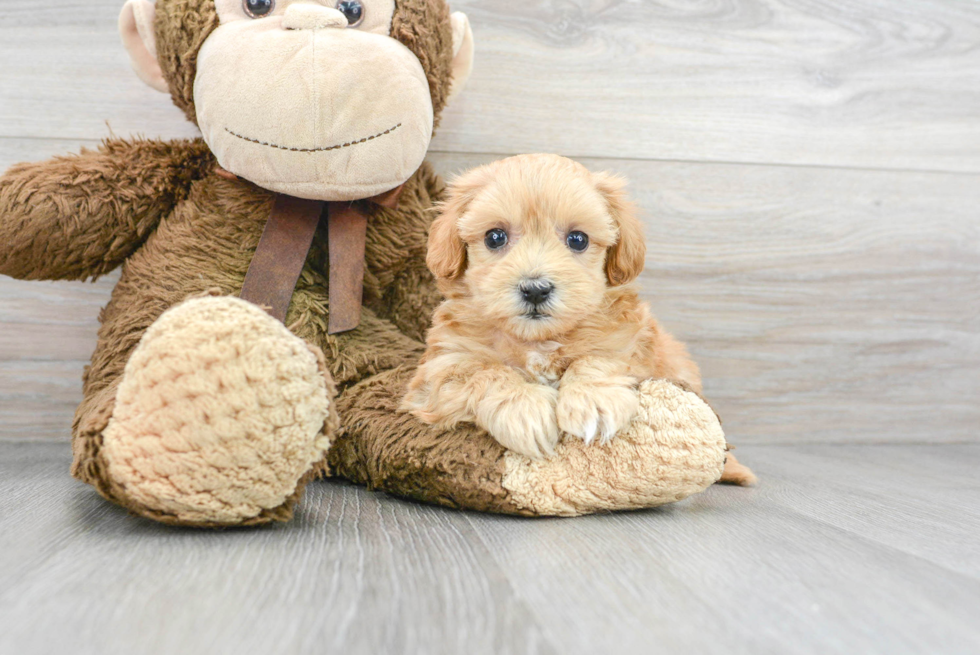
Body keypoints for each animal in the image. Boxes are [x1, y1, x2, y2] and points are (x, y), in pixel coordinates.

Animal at [398, 154, 704, 462]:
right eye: (495, 237)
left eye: (578, 239)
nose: (535, 289)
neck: (538, 340)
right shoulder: (440, 368)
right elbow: (485, 372)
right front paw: (523, 409)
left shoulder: (633, 345)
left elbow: (599, 357)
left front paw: (592, 398)